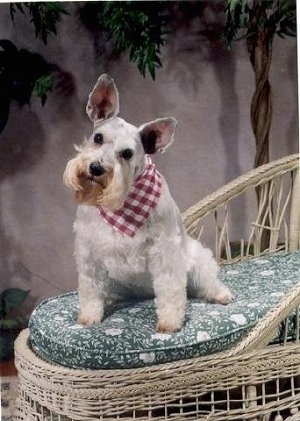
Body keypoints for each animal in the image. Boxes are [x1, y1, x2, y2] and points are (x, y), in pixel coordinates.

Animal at [62, 74, 232, 332]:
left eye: (127, 153)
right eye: (98, 138)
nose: (96, 168)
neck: (122, 204)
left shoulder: (164, 250)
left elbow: (170, 287)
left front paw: (170, 321)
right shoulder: (88, 251)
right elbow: (90, 288)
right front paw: (89, 316)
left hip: (198, 262)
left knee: (206, 282)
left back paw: (220, 293)